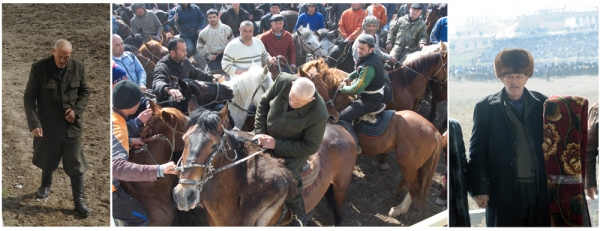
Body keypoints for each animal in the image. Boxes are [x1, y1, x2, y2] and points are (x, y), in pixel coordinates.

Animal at [171, 99, 358, 226]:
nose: (183, 195)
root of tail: (341, 129)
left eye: (214, 145)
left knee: (339, 212)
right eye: (184, 139)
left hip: (341, 186)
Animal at [298, 62, 440, 216]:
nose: (333, 117)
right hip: (415, 165)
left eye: (323, 87)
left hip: (407, 164)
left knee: (414, 186)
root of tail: (434, 131)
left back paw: (398, 209)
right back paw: (400, 188)